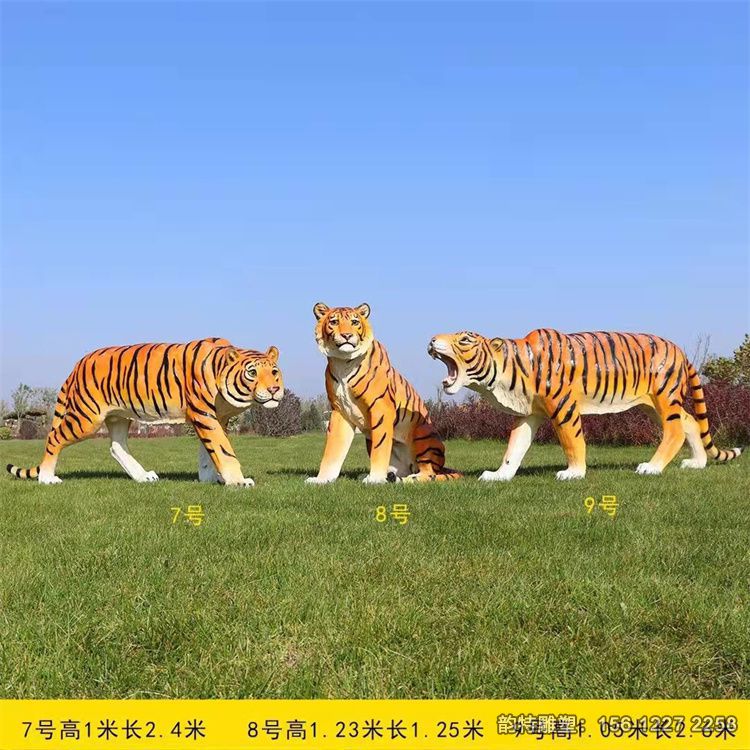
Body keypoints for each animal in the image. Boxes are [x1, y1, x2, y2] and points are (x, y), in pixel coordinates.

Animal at [6, 338, 283, 486]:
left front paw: (210, 479)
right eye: (252, 373)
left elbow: (208, 452)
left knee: (116, 447)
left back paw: (143, 477)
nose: (274, 389)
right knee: (54, 437)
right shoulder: (205, 416)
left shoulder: (218, 418)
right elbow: (222, 449)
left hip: (118, 416)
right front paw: (238, 481)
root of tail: (78, 363)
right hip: (86, 418)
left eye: (274, 371)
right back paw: (47, 478)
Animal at [306, 303, 460, 484]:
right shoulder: (340, 411)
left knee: (430, 473)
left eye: (354, 322)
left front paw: (375, 479)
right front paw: (322, 479)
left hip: (422, 434)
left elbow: (380, 447)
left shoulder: (380, 408)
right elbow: (332, 450)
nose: (347, 335)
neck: (343, 362)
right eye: (334, 322)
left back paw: (409, 479)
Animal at [429, 329, 742, 481]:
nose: (431, 340)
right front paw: (500, 475)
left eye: (464, 339)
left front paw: (574, 473)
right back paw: (697, 464)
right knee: (689, 422)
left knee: (675, 431)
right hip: (652, 404)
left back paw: (651, 468)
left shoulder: (563, 407)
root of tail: (679, 349)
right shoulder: (529, 414)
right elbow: (514, 448)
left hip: (664, 396)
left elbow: (572, 442)